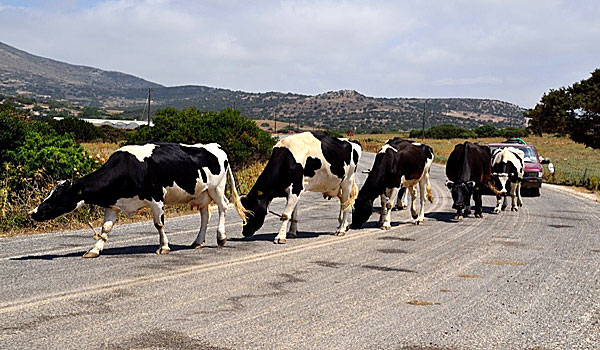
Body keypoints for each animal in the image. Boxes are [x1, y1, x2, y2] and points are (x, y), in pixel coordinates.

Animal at [28, 142, 246, 258]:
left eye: (58, 195)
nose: (33, 212)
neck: (129, 169)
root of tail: (215, 146)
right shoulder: (113, 204)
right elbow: (105, 228)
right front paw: (94, 249)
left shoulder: (156, 199)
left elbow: (159, 224)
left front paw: (164, 246)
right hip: (201, 193)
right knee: (204, 215)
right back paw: (197, 242)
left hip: (217, 188)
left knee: (223, 207)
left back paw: (221, 237)